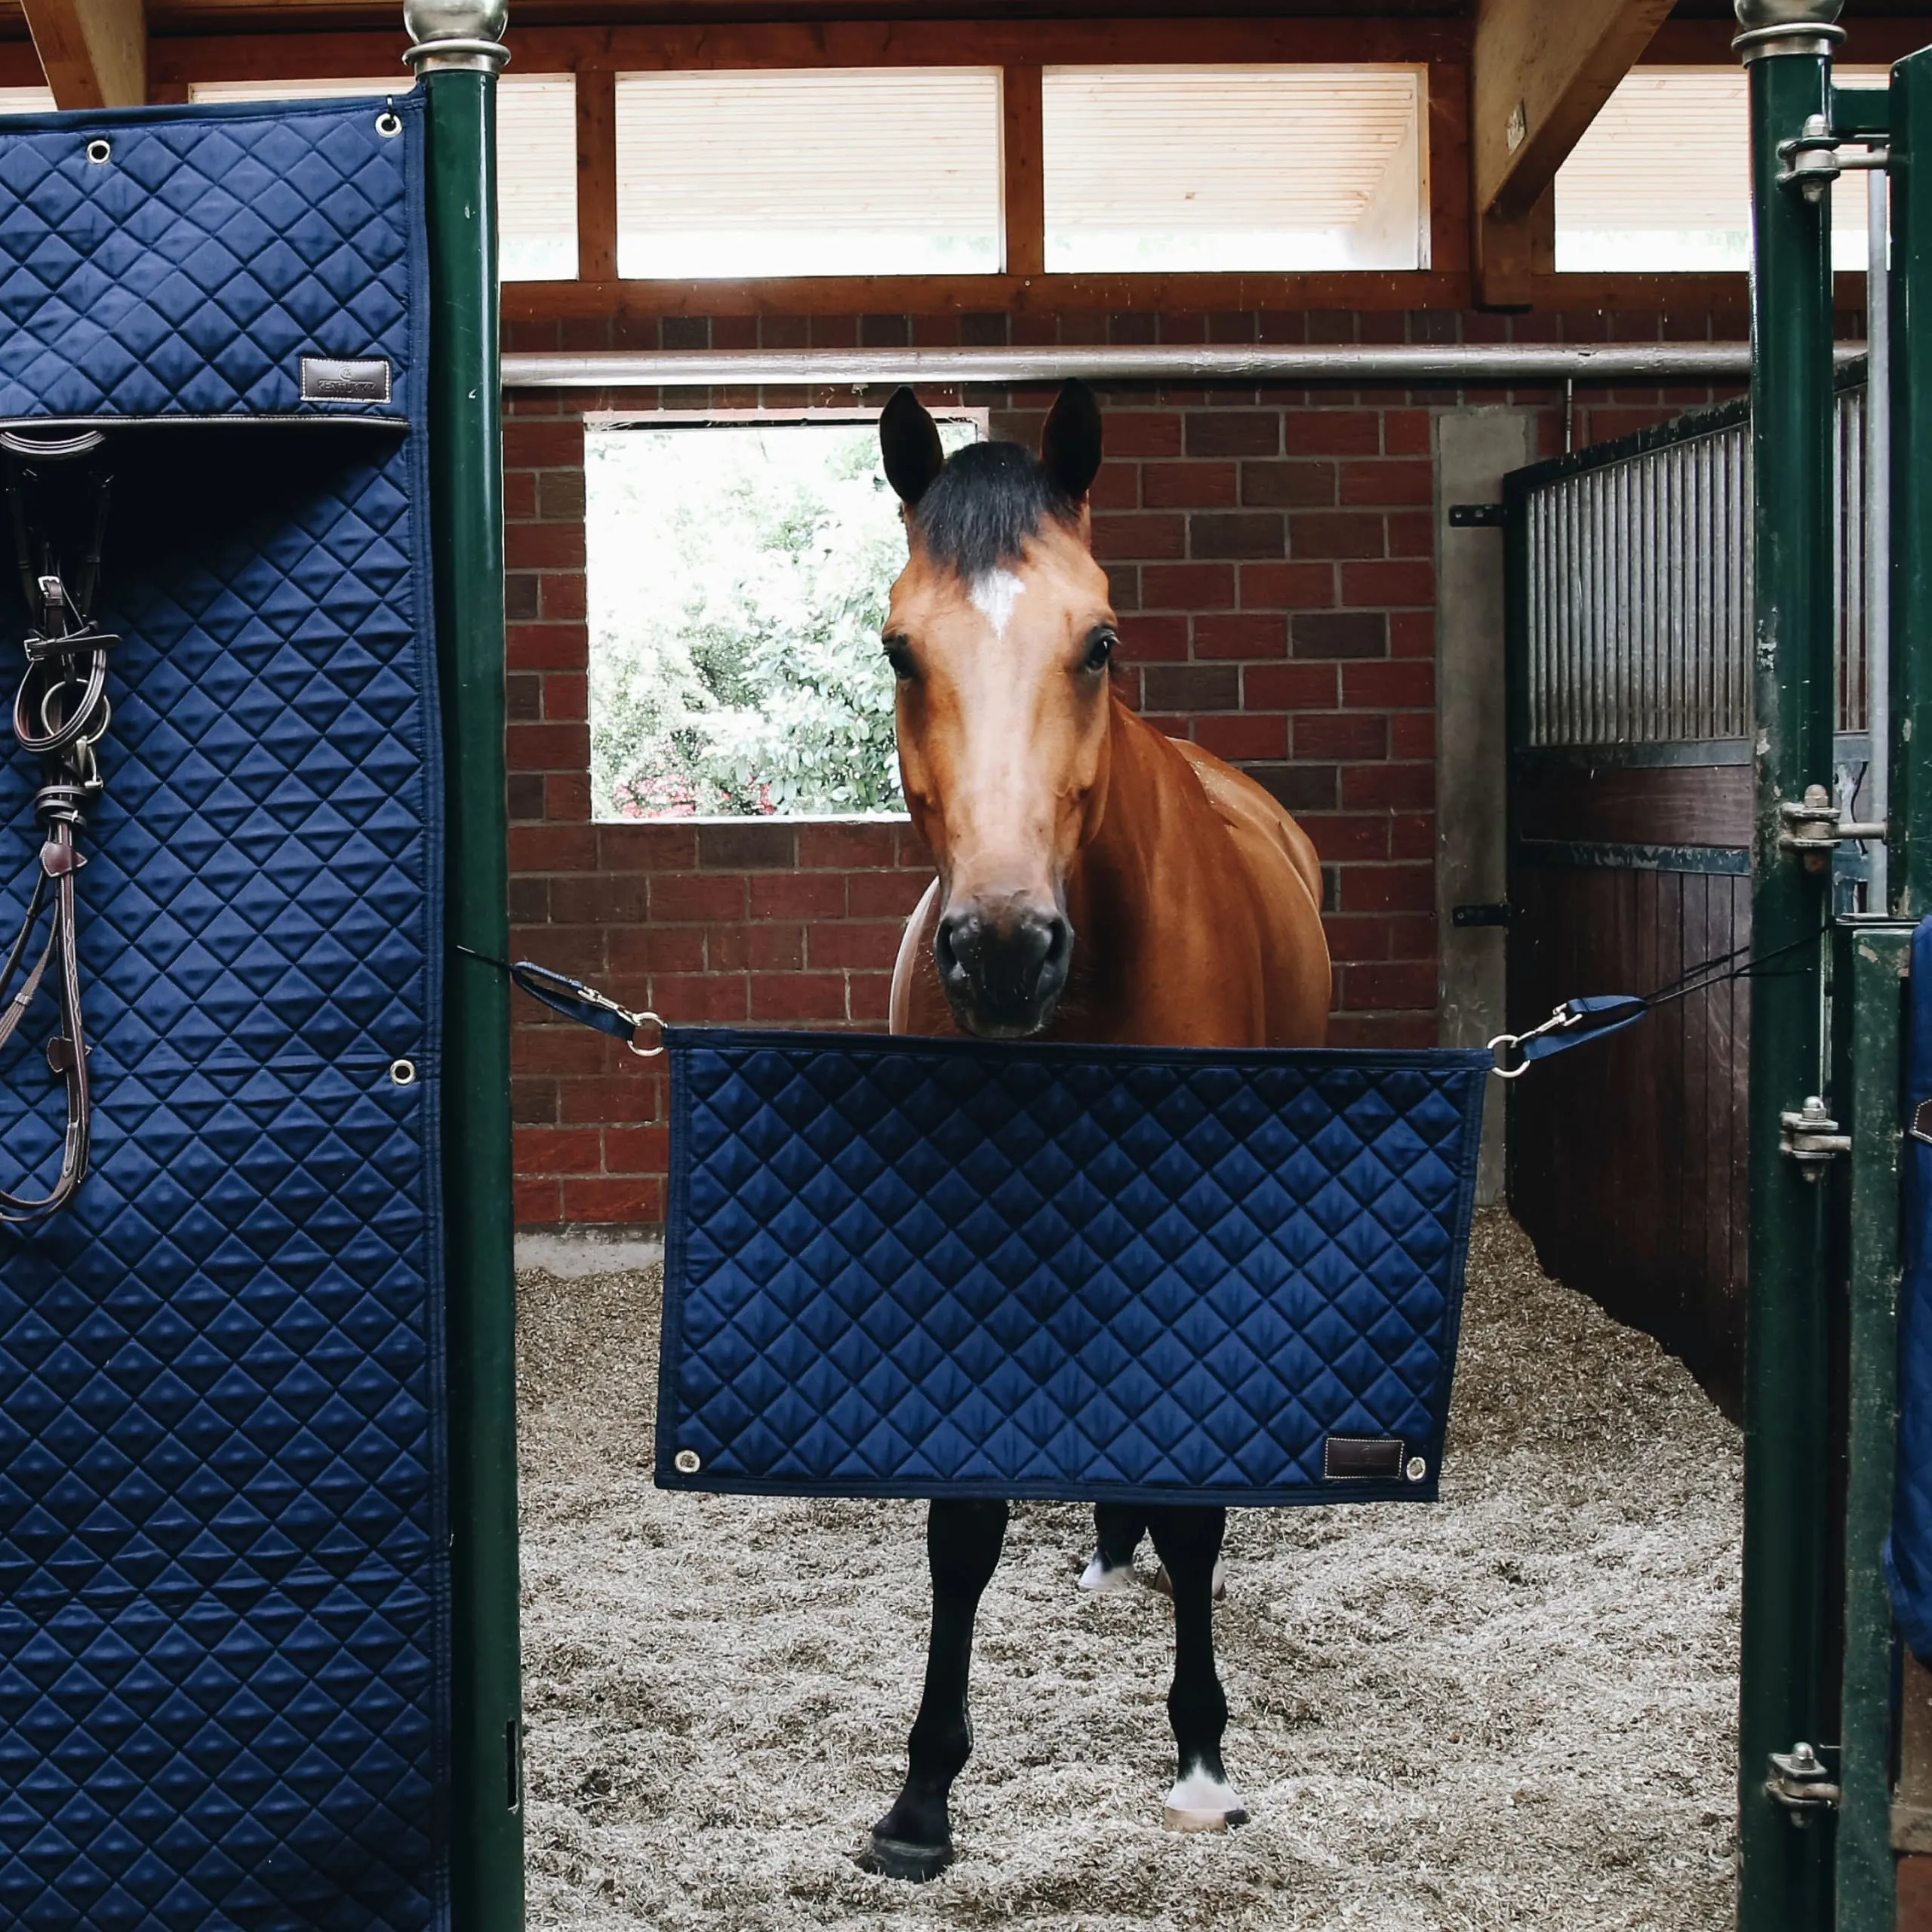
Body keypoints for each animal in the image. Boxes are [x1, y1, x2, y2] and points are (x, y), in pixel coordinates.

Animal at [869, 384, 1337, 1878]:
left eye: (1101, 642)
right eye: (901, 646)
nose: (1006, 951)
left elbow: (1196, 1505)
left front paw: (1200, 1758)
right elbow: (963, 1518)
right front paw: (923, 1797)